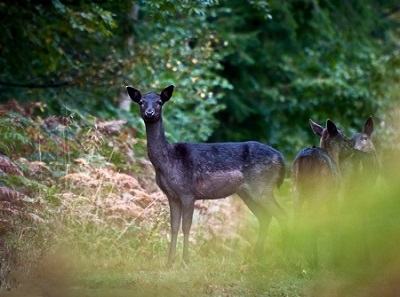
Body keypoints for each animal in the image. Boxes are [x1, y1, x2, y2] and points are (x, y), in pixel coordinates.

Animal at [126, 84, 286, 264]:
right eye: (141, 101)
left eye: (159, 102)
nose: (149, 112)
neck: (166, 162)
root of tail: (280, 158)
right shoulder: (172, 195)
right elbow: (173, 226)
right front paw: (169, 262)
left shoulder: (188, 191)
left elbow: (186, 226)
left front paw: (186, 260)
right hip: (247, 192)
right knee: (265, 217)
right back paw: (256, 257)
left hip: (262, 187)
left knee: (283, 215)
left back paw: (287, 254)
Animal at [290, 118, 354, 266]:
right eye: (344, 137)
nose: (352, 146)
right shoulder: (335, 195)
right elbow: (333, 220)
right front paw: (336, 258)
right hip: (320, 190)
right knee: (312, 217)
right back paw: (313, 259)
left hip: (297, 189)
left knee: (296, 217)